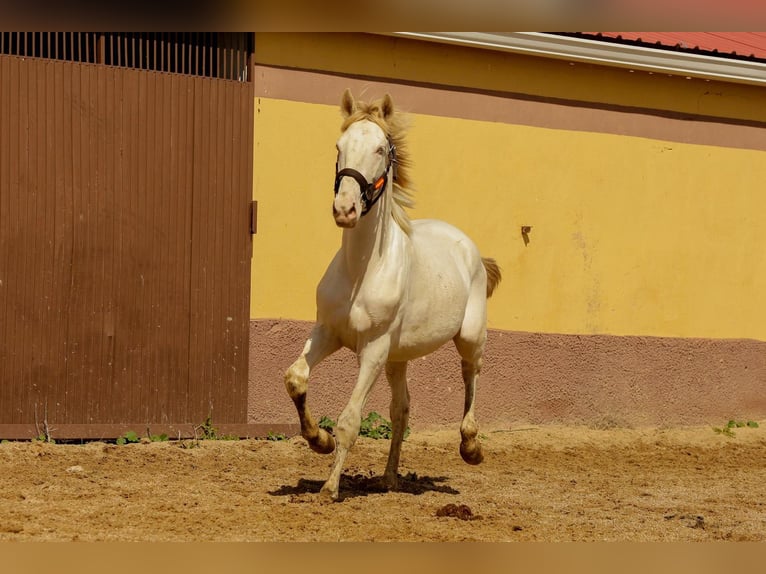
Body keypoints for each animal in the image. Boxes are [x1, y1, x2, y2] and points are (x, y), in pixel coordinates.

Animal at [284, 90, 500, 504]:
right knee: (401, 408)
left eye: (381, 148)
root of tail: (469, 248)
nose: (345, 209)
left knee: (472, 373)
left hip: (468, 337)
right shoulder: (328, 332)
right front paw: (318, 440)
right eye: (339, 146)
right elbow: (296, 378)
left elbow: (350, 420)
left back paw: (471, 447)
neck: (361, 271)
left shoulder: (373, 348)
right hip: (398, 359)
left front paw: (329, 488)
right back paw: (388, 478)